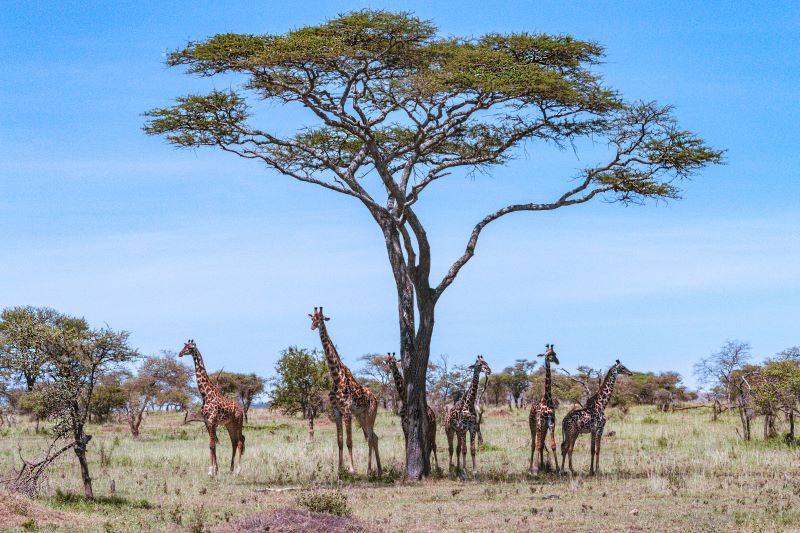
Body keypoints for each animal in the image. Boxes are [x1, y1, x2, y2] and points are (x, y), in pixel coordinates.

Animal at [178, 338, 244, 476]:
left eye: (190, 348)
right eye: (184, 346)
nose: (180, 353)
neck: (205, 394)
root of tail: (241, 408)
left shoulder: (212, 420)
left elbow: (212, 445)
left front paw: (211, 471)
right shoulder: (207, 421)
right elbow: (212, 445)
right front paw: (214, 470)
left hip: (238, 421)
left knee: (240, 441)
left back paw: (238, 470)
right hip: (229, 424)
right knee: (234, 442)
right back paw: (231, 469)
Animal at [310, 306, 382, 476]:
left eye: (321, 318)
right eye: (312, 318)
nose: (313, 326)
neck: (337, 377)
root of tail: (376, 398)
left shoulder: (347, 411)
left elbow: (349, 441)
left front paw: (352, 469)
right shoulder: (337, 411)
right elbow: (340, 441)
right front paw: (339, 469)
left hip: (370, 414)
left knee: (370, 438)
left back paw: (369, 470)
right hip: (360, 416)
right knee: (374, 437)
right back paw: (379, 469)